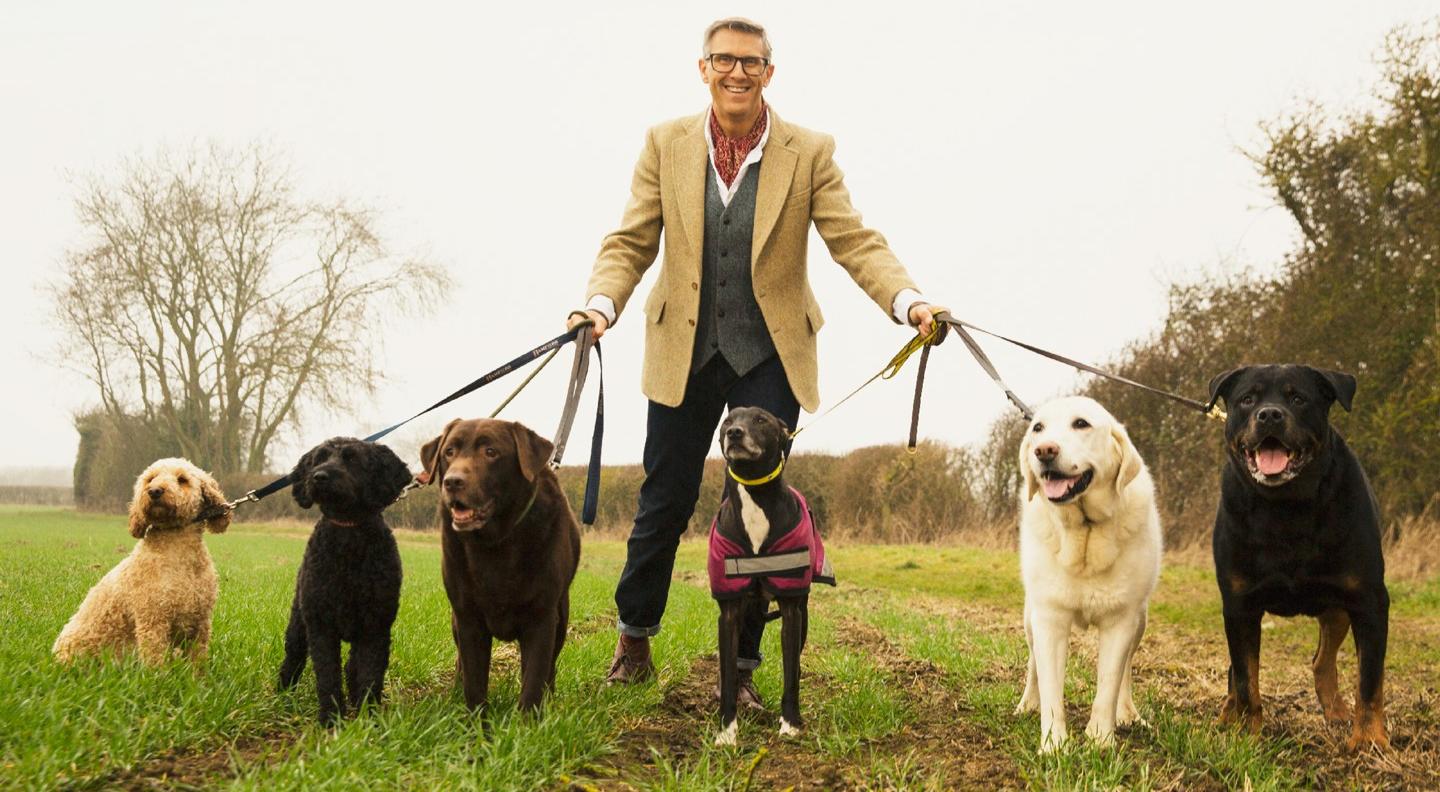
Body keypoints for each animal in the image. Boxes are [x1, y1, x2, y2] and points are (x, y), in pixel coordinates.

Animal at [276, 437, 414, 722]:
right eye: (319, 459)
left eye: (352, 459)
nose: (319, 477)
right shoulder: (321, 626)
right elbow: (328, 675)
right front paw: (330, 719)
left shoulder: (375, 626)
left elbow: (370, 675)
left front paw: (368, 718)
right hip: (298, 623)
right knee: (293, 657)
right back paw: (282, 693)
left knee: (353, 666)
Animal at [708, 406, 835, 748]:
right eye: (726, 421)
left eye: (761, 420)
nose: (734, 433)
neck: (755, 496)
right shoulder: (728, 613)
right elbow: (728, 675)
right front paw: (726, 733)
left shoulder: (792, 611)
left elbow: (791, 673)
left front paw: (790, 724)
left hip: (802, 615)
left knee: (797, 660)